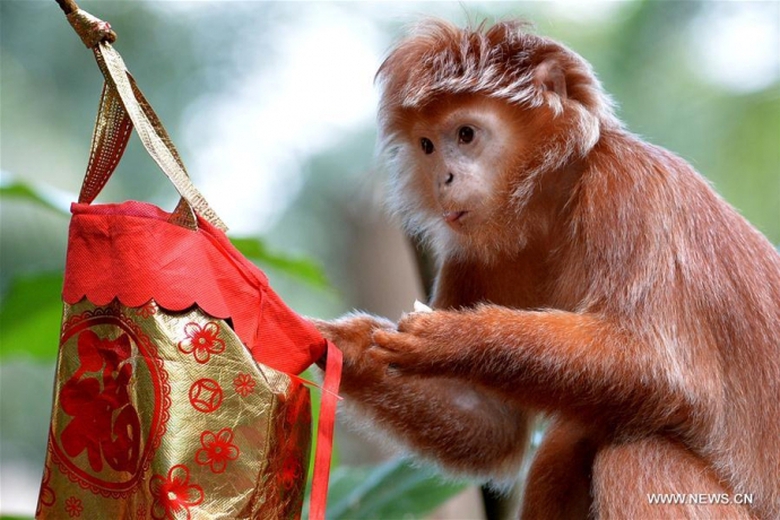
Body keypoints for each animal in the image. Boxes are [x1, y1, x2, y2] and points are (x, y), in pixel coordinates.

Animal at [314, 20, 780, 519]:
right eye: (427, 146)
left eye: (465, 135)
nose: (444, 180)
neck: (553, 204)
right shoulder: (475, 257)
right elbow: (489, 423)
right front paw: (343, 343)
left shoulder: (632, 189)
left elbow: (665, 370)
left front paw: (458, 338)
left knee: (633, 453)